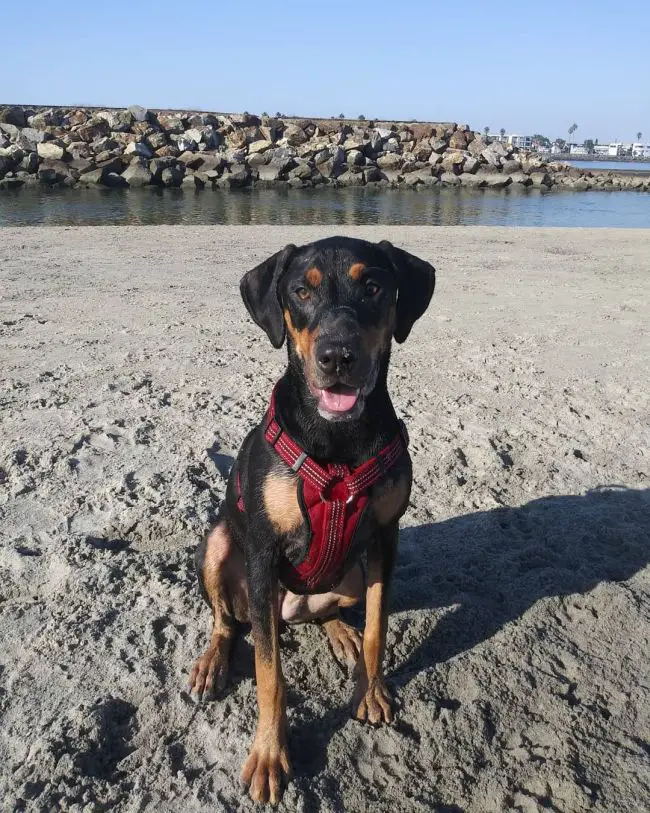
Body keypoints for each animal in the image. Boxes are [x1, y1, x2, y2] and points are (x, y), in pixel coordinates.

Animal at [187, 236, 436, 804]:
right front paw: (269, 755)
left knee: (325, 613)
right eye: (301, 290)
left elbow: (378, 627)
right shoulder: (263, 552)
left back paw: (339, 632)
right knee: (227, 620)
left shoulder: (385, 540)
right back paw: (212, 660)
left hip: (349, 574)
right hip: (219, 545)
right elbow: (269, 674)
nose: (337, 356)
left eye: (374, 286)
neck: (337, 437)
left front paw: (371, 690)